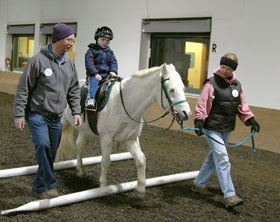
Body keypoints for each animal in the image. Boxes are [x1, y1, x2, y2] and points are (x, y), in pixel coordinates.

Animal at [57, 63, 192, 199]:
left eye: (183, 88)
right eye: (172, 90)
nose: (187, 113)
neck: (125, 103)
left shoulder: (130, 139)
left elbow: (141, 159)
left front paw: (140, 189)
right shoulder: (106, 139)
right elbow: (105, 161)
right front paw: (103, 187)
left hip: (84, 129)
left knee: (79, 146)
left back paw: (80, 171)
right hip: (62, 122)